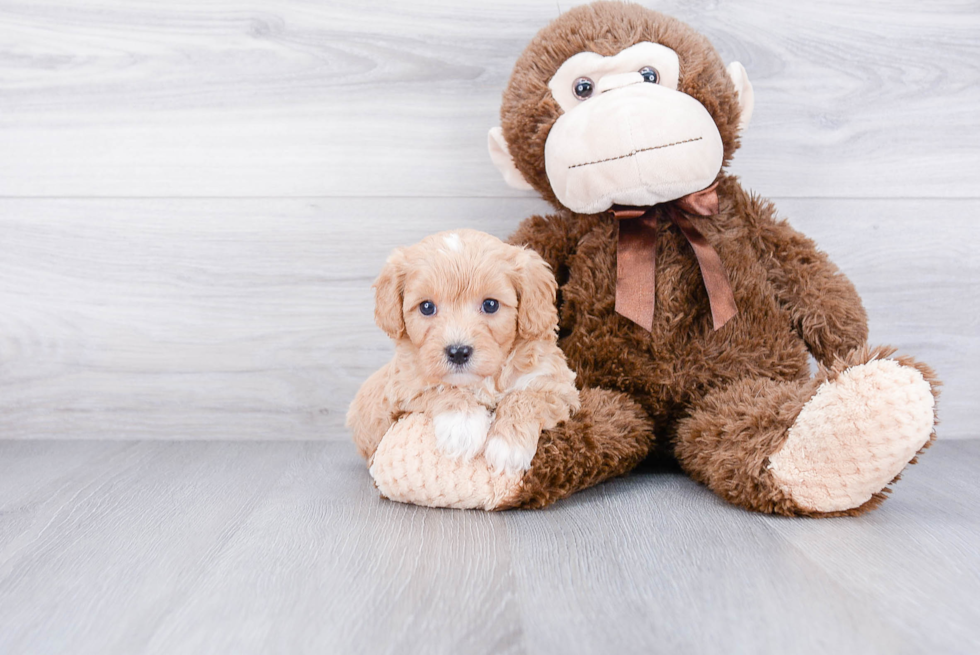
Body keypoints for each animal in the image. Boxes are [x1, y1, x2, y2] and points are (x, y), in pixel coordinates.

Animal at [348, 231, 580, 476]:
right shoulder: (404, 389)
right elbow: (444, 388)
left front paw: (509, 445)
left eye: (490, 305)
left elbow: (525, 397)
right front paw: (462, 426)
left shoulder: (559, 389)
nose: (458, 352)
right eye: (426, 307)